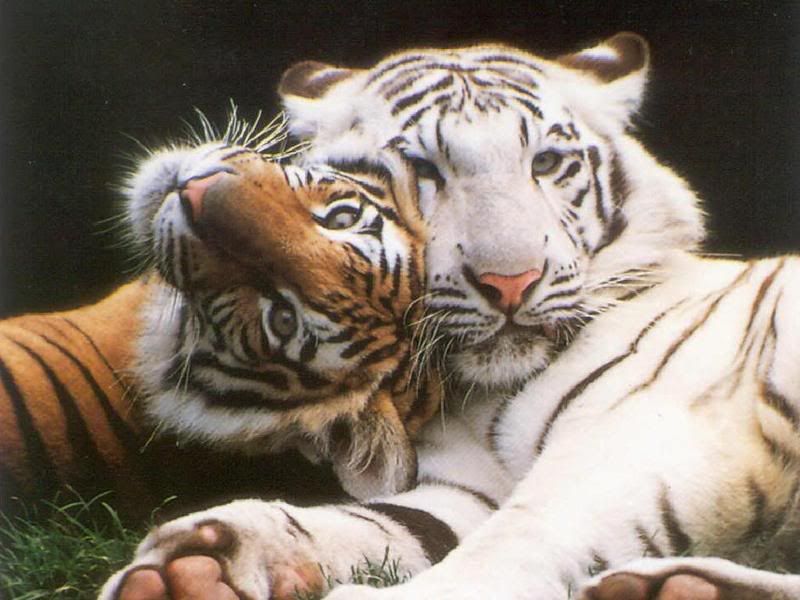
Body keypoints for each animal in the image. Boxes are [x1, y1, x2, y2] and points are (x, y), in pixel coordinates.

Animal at [102, 33, 800, 600]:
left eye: (546, 164)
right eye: (422, 168)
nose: (511, 283)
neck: (473, 394)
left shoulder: (658, 426)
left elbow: (522, 532)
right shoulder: (466, 487)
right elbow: (386, 523)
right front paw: (193, 568)